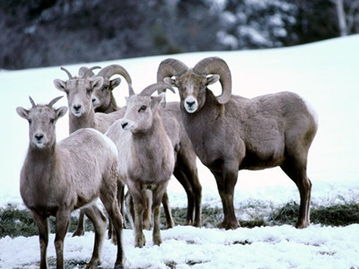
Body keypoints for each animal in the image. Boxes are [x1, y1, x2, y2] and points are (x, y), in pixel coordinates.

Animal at [16, 96, 125, 268]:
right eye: (29, 120)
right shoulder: (36, 211)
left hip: (108, 189)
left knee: (117, 218)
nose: (39, 137)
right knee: (101, 221)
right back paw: (92, 262)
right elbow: (43, 243)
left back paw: (119, 261)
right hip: (88, 201)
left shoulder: (63, 209)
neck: (42, 186)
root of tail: (107, 140)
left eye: (52, 119)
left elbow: (58, 242)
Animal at [105, 82, 176, 247]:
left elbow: (155, 208)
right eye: (128, 105)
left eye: (143, 107)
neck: (151, 163)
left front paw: (157, 241)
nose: (125, 124)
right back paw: (114, 239)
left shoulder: (161, 184)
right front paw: (139, 241)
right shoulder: (134, 183)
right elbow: (138, 207)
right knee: (116, 205)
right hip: (116, 182)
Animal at [158, 56, 318, 228]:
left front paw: (234, 224)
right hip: (287, 164)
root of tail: (310, 109)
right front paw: (224, 224)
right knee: (307, 184)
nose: (190, 103)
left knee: (304, 185)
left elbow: (229, 193)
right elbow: (222, 194)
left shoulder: (231, 164)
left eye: (202, 84)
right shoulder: (216, 170)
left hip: (297, 158)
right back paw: (306, 222)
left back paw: (300, 224)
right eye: (179, 85)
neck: (211, 125)